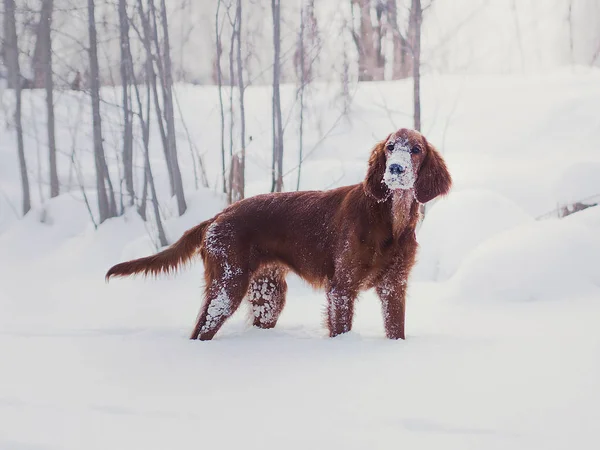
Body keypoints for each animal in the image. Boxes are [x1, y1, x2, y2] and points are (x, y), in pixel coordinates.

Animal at [105, 128, 450, 340]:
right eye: (390, 147)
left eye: (415, 149)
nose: (395, 169)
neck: (390, 219)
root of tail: (217, 216)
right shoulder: (342, 288)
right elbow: (341, 326)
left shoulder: (394, 286)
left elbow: (396, 329)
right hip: (228, 285)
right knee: (201, 330)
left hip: (268, 295)